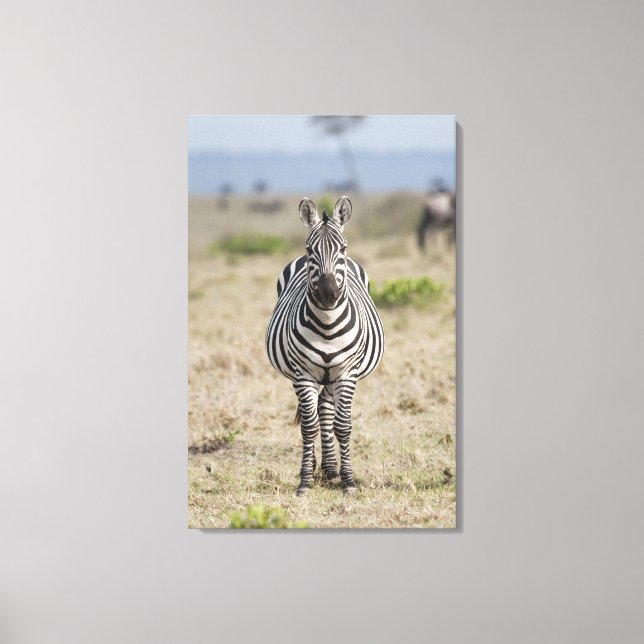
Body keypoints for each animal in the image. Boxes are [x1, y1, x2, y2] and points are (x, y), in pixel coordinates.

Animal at [266, 196, 385, 496]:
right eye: (310, 249)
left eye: (342, 248)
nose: (329, 295)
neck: (328, 325)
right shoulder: (303, 374)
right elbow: (309, 428)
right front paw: (305, 482)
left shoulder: (347, 374)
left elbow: (343, 426)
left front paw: (348, 481)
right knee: (317, 415)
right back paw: (319, 467)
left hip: (332, 376)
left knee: (326, 410)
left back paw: (331, 470)